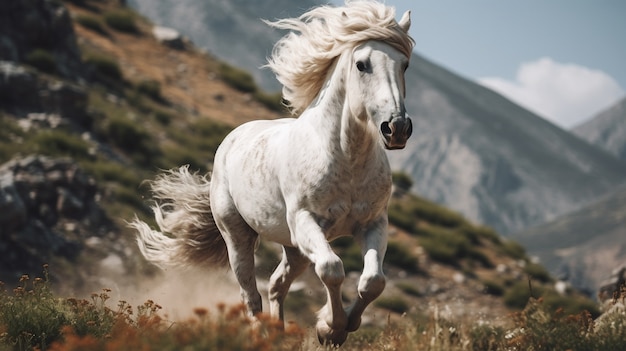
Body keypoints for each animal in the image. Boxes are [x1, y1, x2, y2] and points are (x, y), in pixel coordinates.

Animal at [130, 0, 414, 346]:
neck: (346, 158)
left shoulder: (373, 223)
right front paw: (330, 327)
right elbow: (332, 269)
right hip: (239, 236)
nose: (396, 128)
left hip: (295, 249)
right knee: (250, 293)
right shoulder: (306, 221)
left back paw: (278, 332)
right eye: (362, 64)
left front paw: (339, 328)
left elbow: (373, 281)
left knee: (278, 283)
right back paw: (261, 334)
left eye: (404, 65)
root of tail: (232, 139)